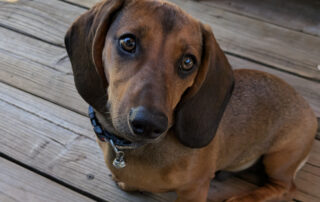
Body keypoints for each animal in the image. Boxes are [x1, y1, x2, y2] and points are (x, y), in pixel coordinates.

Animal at [65, 0, 318, 200]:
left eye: (188, 62)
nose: (149, 124)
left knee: (285, 187)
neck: (129, 147)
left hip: (279, 158)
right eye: (128, 42)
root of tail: (306, 106)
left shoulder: (194, 189)